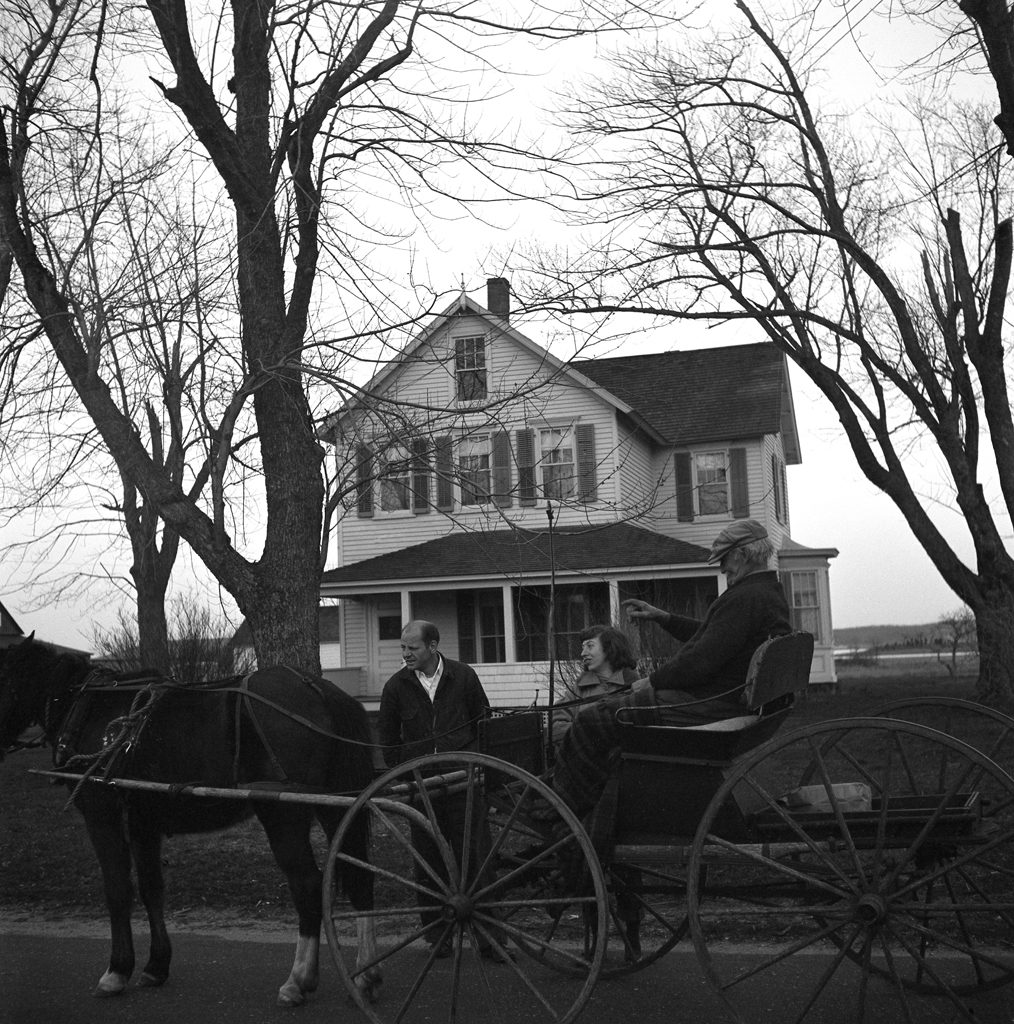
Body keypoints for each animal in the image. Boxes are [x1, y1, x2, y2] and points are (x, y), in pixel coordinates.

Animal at [0, 634, 381, 1003]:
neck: (89, 709)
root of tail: (318, 689)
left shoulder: (102, 817)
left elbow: (117, 890)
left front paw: (117, 970)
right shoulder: (143, 824)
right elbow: (151, 888)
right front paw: (156, 965)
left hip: (282, 815)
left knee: (307, 885)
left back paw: (298, 980)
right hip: (334, 806)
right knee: (362, 878)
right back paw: (366, 975)